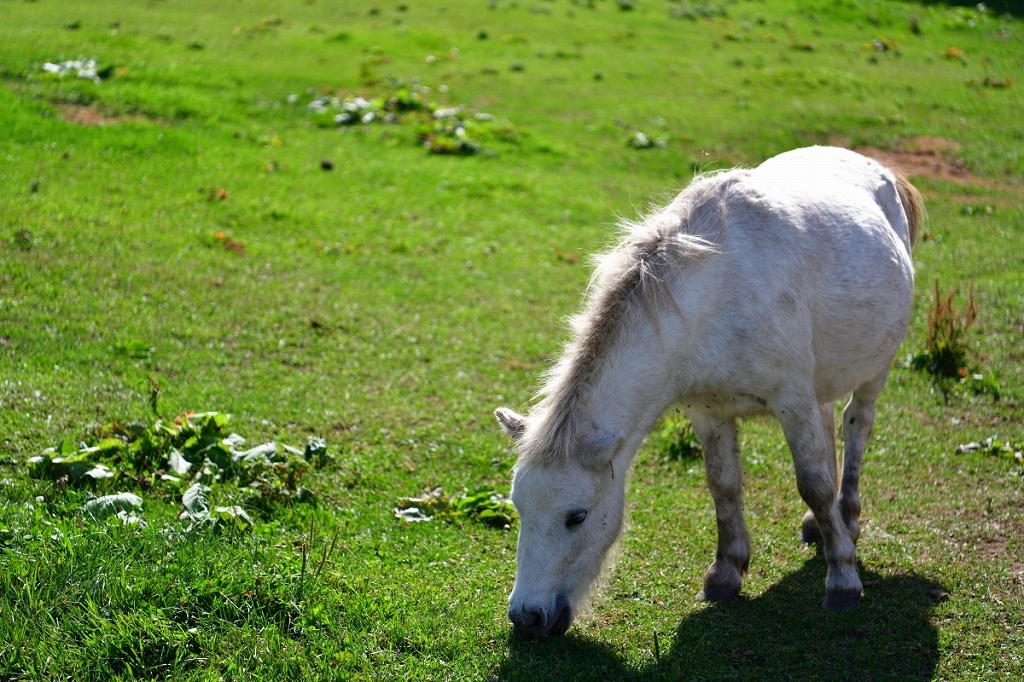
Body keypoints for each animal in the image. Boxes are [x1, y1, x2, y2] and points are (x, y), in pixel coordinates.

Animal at [491, 146, 925, 634]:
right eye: (519, 508)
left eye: (576, 517)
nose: (527, 617)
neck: (714, 293)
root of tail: (879, 169)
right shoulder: (709, 412)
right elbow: (723, 486)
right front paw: (725, 573)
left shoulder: (792, 402)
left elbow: (812, 483)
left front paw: (843, 580)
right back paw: (821, 524)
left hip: (875, 369)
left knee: (856, 427)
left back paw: (846, 516)